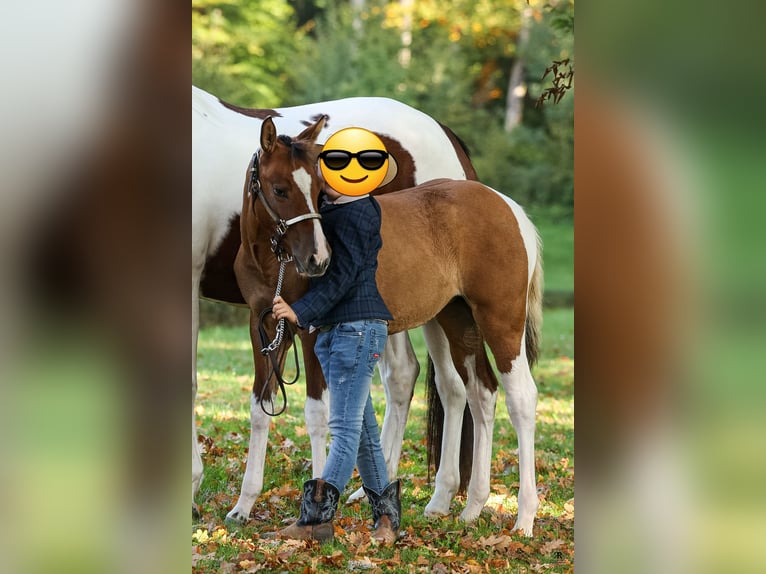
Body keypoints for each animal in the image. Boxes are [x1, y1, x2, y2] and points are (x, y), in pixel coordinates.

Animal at [192, 85, 485, 522]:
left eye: (317, 191)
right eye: (279, 190)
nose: (317, 258)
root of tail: (445, 133)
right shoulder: (266, 321)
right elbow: (262, 402)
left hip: (436, 307)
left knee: (451, 386)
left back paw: (441, 496)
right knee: (403, 375)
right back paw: (373, 488)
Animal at [239, 116, 543, 535]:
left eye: (318, 190)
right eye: (280, 189)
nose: (317, 260)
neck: (275, 264)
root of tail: (509, 207)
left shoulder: (313, 332)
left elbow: (318, 415)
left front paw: (314, 509)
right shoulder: (264, 328)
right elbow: (260, 406)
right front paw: (242, 507)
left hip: (500, 319)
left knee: (520, 398)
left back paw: (525, 517)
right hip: (457, 319)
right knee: (480, 392)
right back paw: (470, 507)